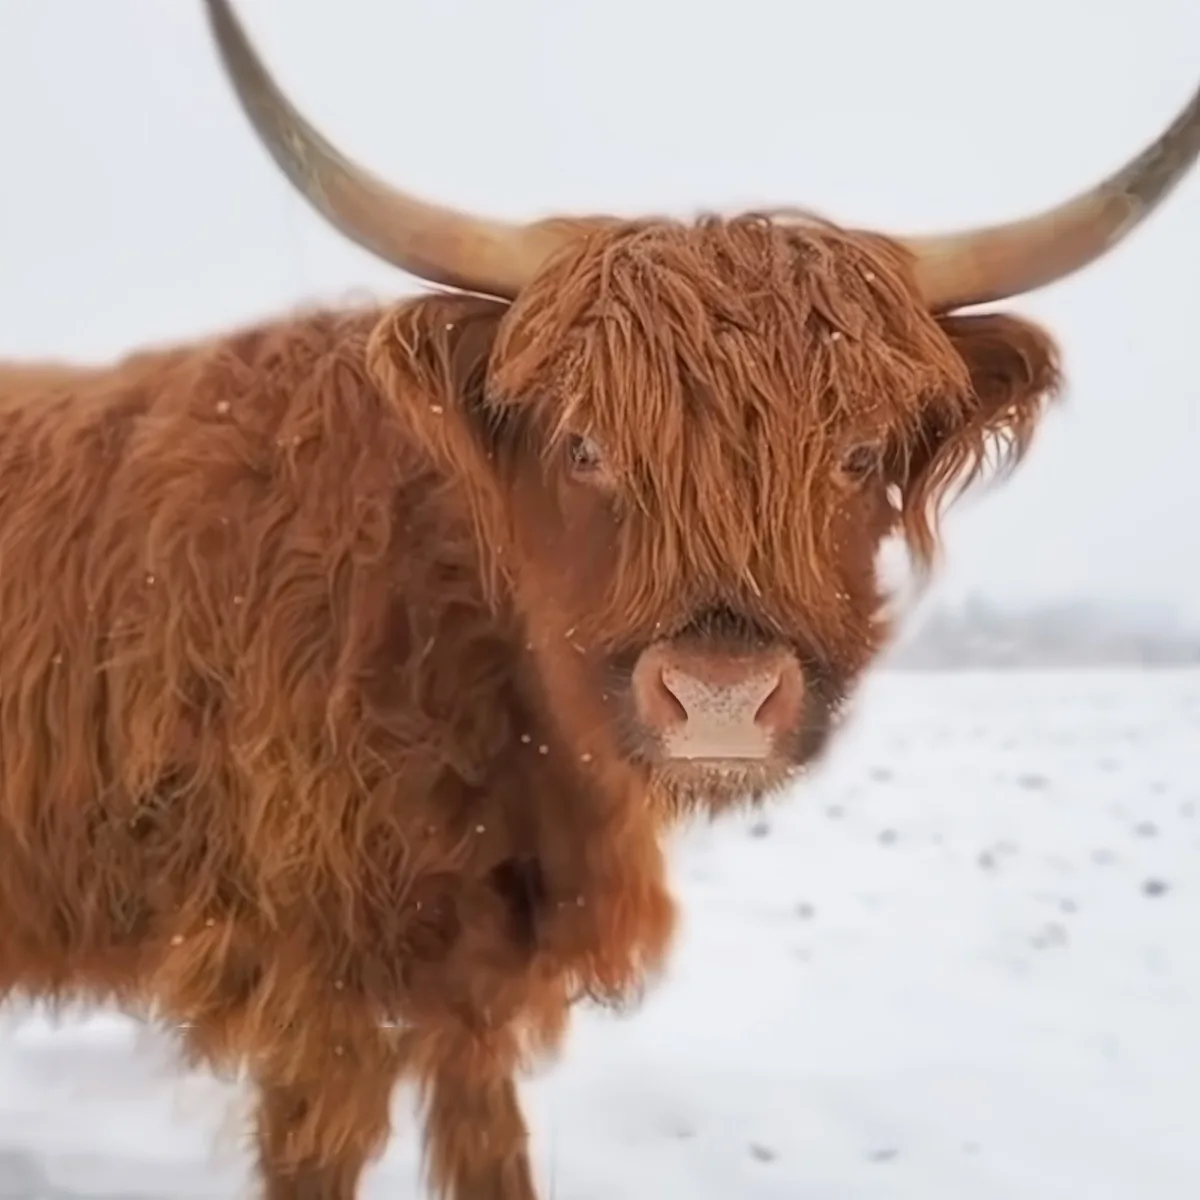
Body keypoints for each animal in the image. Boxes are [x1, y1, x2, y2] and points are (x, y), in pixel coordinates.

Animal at [0, 0, 1194, 1196]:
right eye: (583, 445)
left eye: (858, 455)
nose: (721, 697)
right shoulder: (317, 978)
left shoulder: (477, 982)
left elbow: (491, 1148)